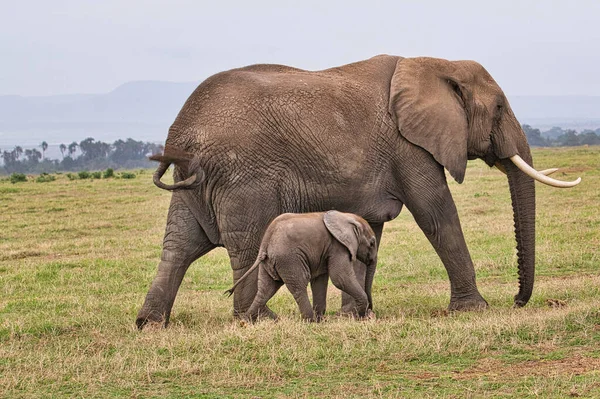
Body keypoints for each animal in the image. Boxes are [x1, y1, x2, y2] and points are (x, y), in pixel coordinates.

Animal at [227, 211, 378, 324]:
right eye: (371, 243)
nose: (370, 314)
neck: (346, 217)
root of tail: (266, 241)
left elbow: (320, 280)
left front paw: (322, 320)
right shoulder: (338, 246)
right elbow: (340, 278)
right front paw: (361, 316)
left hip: (269, 262)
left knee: (266, 289)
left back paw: (245, 322)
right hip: (289, 259)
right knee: (299, 285)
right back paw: (310, 321)